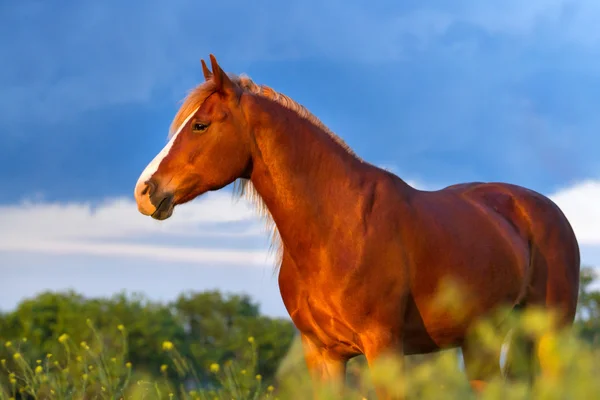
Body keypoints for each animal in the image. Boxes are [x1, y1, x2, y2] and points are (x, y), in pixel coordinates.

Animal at [134, 54, 580, 398]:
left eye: (201, 125)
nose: (145, 191)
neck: (337, 229)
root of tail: (543, 209)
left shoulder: (384, 349)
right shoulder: (323, 354)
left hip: (551, 338)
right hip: (480, 344)